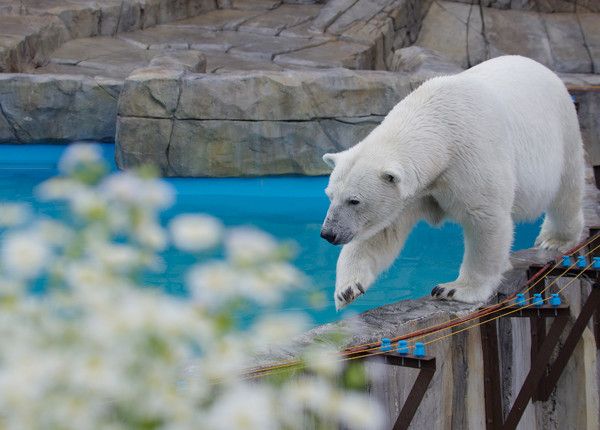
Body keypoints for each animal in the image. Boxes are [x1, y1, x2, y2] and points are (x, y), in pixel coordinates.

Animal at [322, 55, 584, 310]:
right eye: (330, 195)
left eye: (354, 200)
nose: (328, 234)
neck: (439, 124)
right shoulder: (415, 191)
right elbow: (382, 233)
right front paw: (347, 289)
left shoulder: (472, 157)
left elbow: (486, 219)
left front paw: (455, 290)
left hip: (563, 129)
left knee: (567, 189)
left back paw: (554, 240)